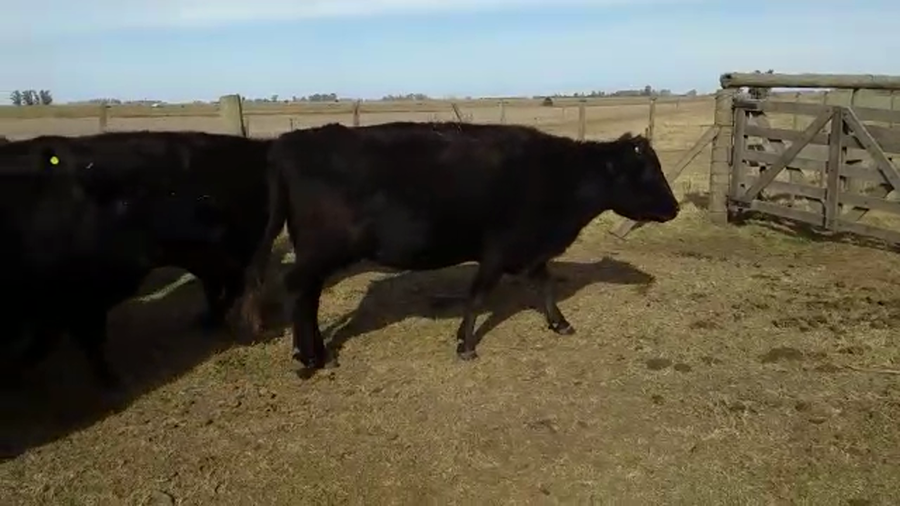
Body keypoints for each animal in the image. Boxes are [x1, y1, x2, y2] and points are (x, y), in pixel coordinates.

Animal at [240, 121, 680, 372]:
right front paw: (465, 345)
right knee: (299, 290)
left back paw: (317, 354)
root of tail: (287, 143)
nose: (674, 207)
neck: (558, 175)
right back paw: (308, 358)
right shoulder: (498, 251)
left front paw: (559, 323)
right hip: (321, 251)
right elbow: (478, 294)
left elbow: (544, 285)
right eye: (646, 171)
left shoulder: (529, 251)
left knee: (307, 296)